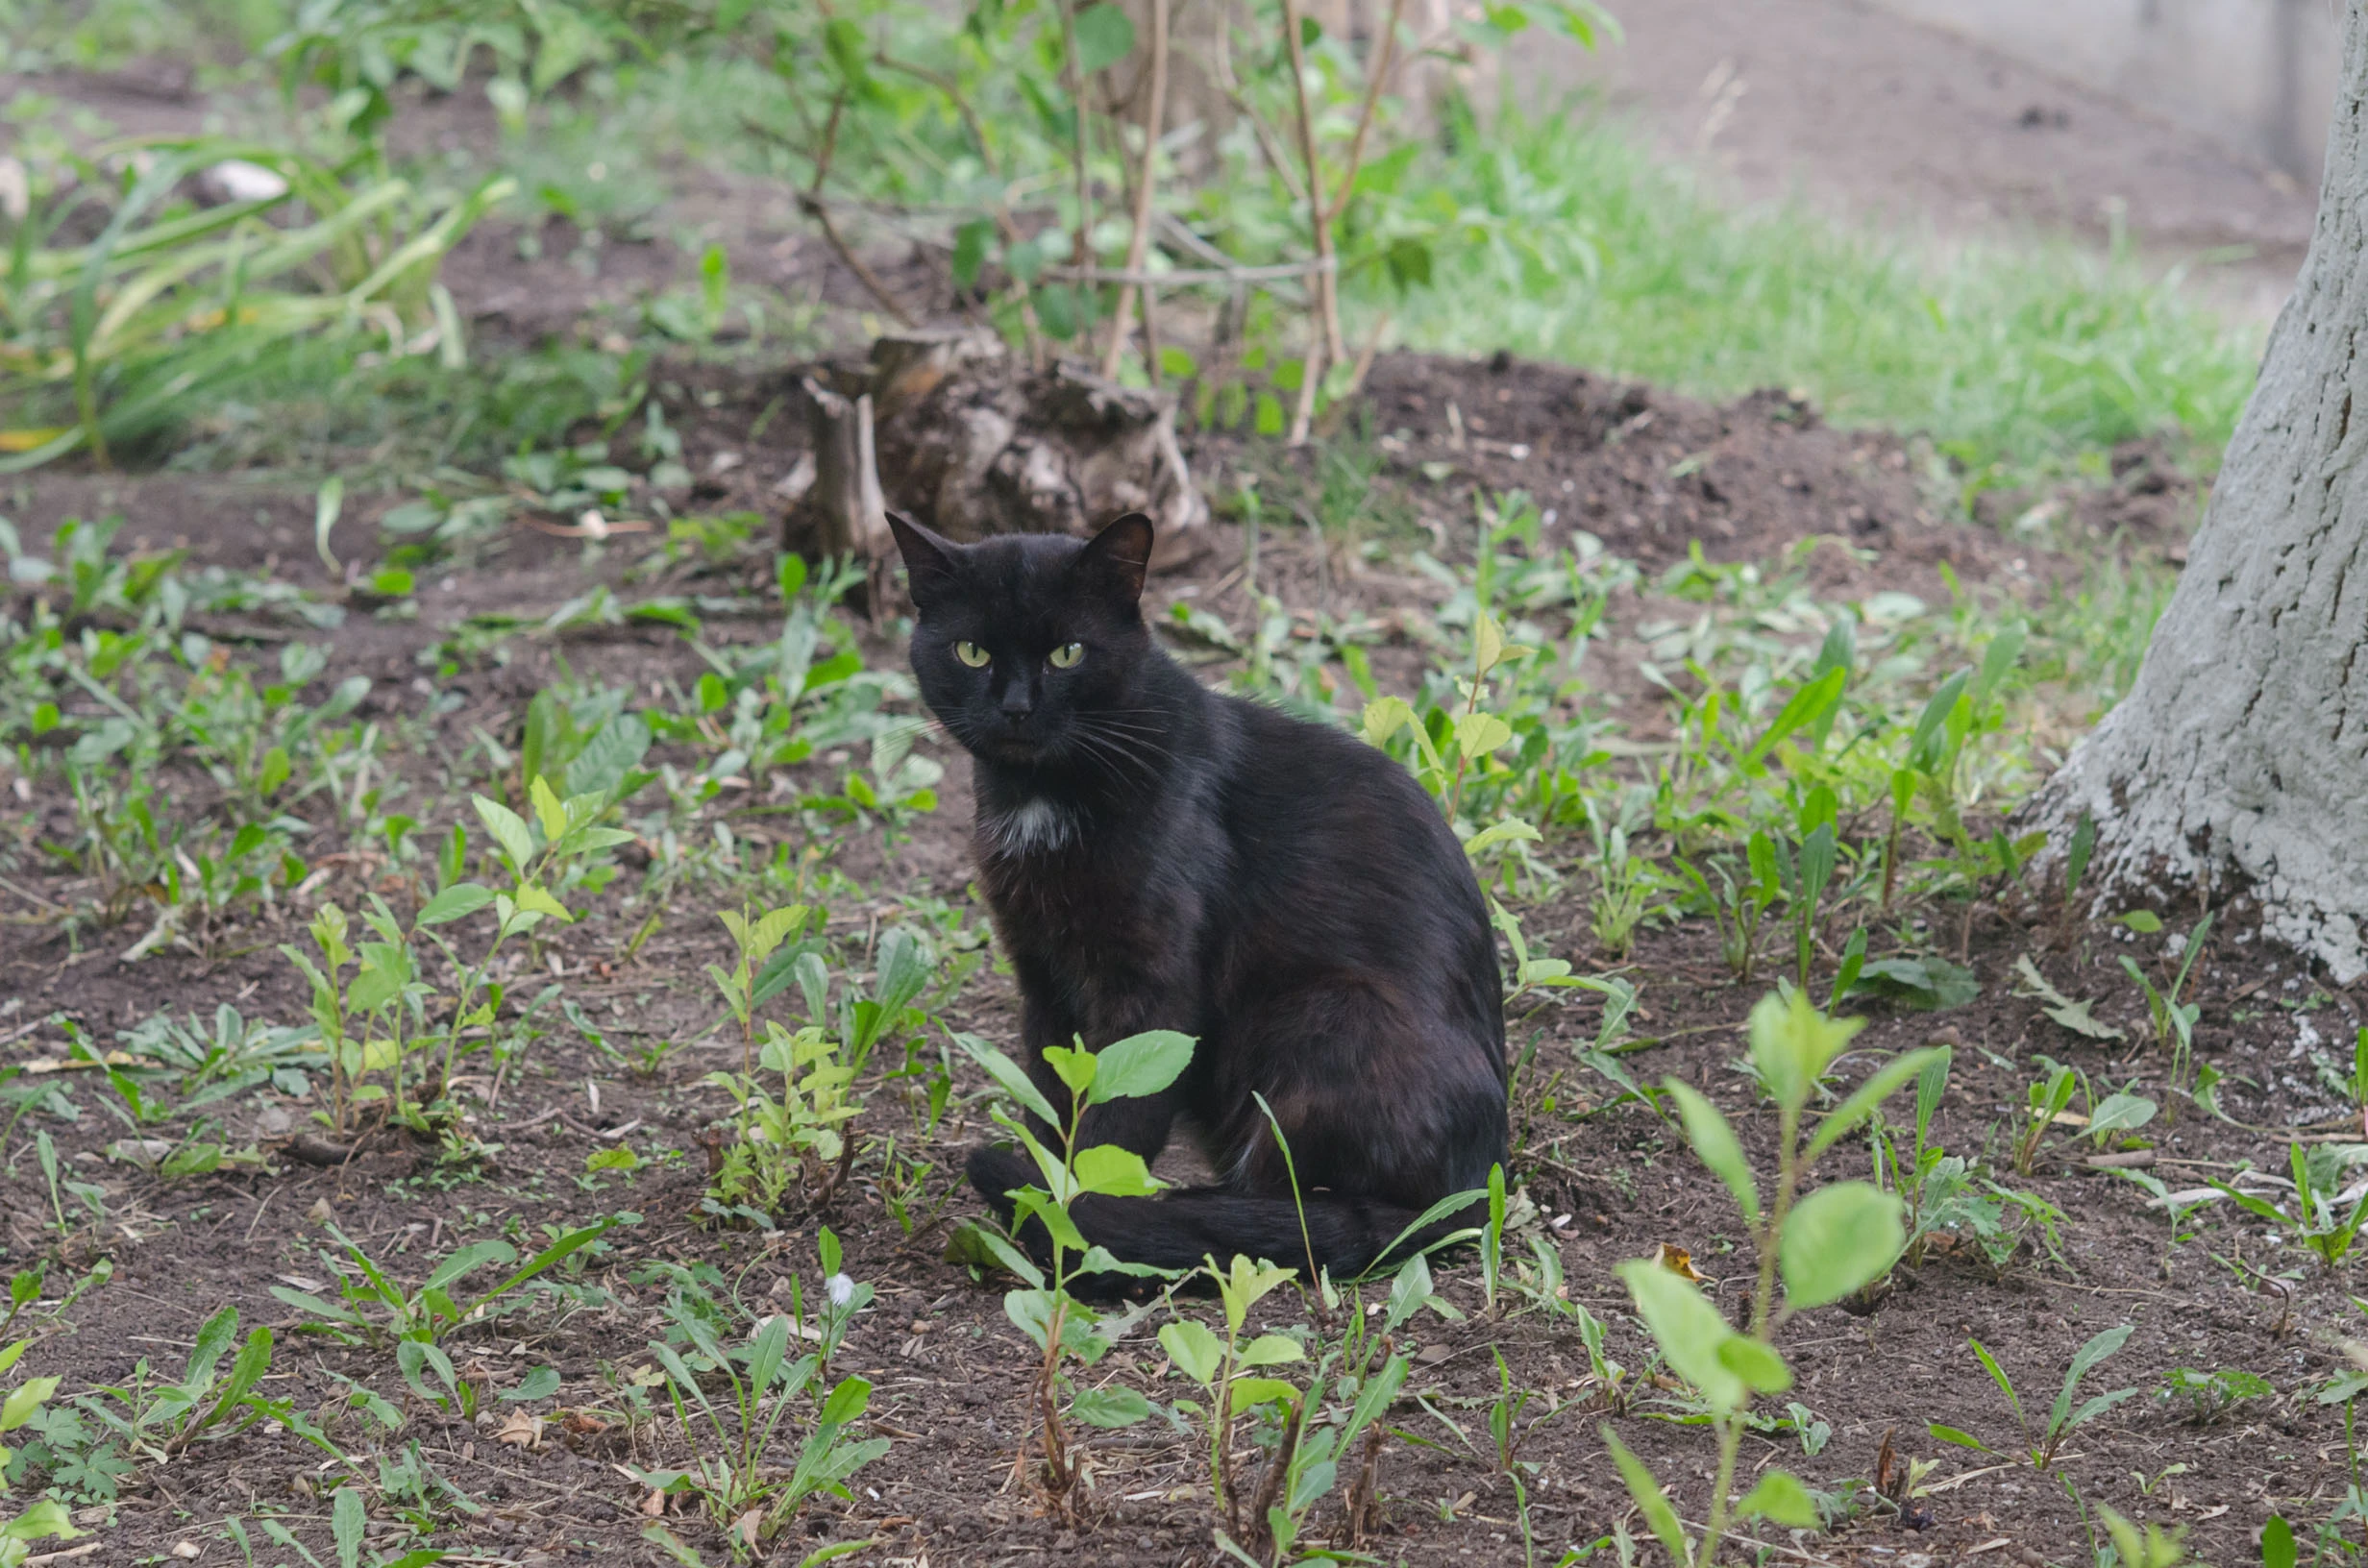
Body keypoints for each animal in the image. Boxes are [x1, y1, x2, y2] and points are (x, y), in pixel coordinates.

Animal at [895, 509, 1506, 1288]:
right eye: (971, 652)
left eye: (1068, 652)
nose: (1016, 708)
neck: (1041, 796)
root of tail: (1482, 1185)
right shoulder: (1042, 978)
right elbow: (1052, 1103)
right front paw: (1040, 1200)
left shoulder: (1155, 989)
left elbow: (1115, 1121)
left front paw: (1072, 1228)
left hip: (1327, 1010)